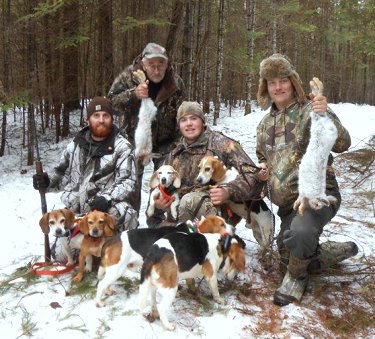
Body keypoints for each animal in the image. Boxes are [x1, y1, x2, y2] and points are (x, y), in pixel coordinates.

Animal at [95, 216, 234, 310]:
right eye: (222, 224)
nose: (234, 227)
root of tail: (112, 240)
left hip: (114, 270)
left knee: (104, 282)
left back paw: (107, 292)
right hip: (117, 269)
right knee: (101, 284)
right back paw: (99, 302)